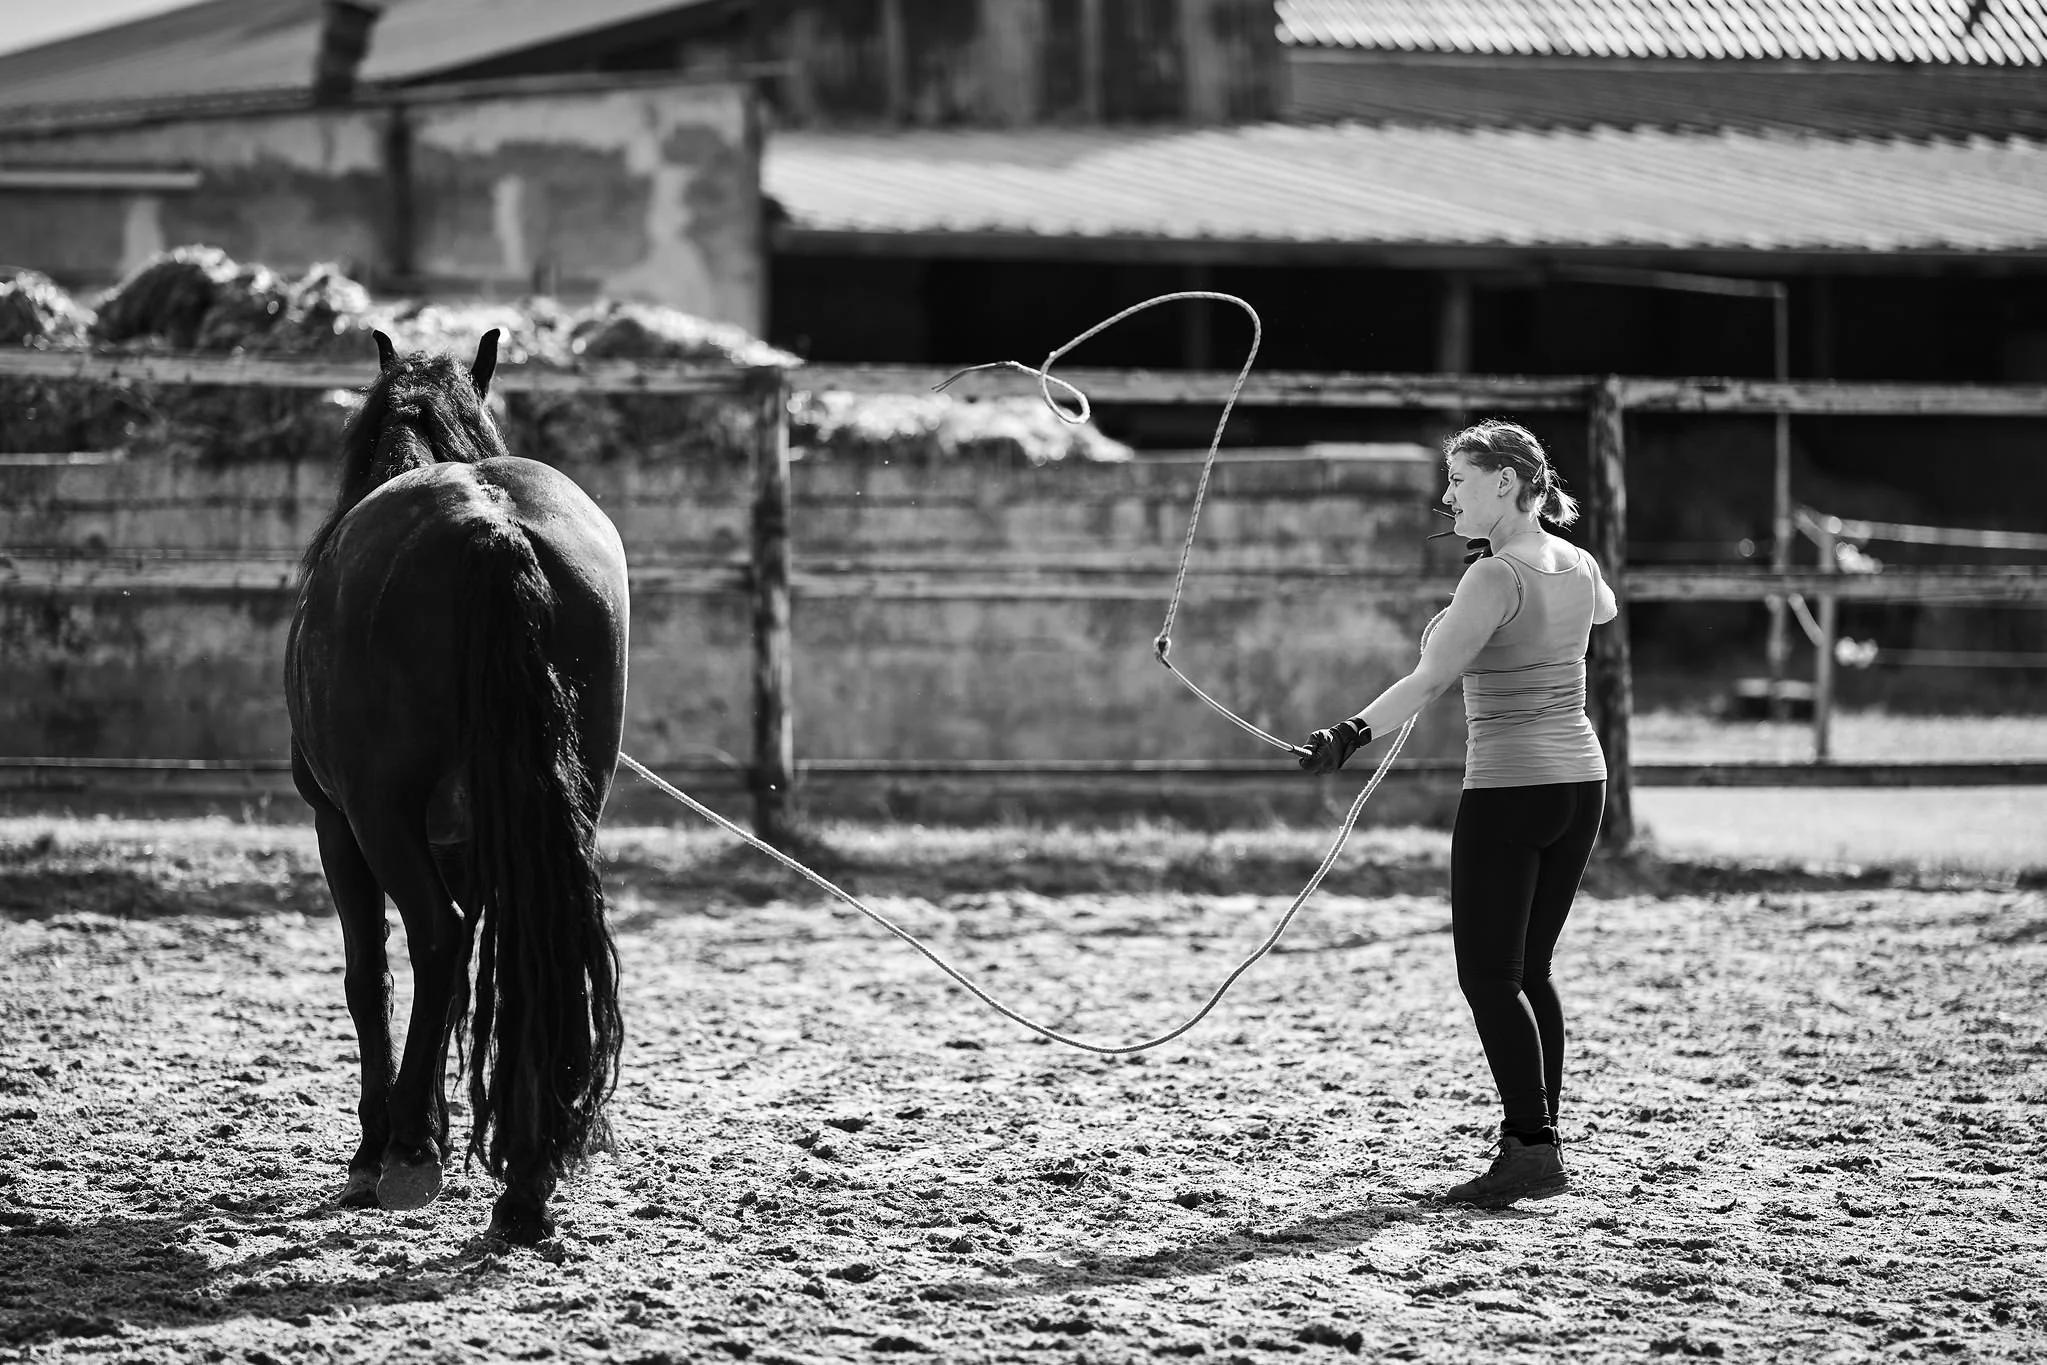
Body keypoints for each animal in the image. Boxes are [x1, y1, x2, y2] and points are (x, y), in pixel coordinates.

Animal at [284, 329, 630, 1244]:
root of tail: (493, 526)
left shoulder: (340, 825)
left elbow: (371, 972)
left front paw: (383, 1143)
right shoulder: (469, 833)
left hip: (378, 814)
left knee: (434, 937)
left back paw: (403, 1149)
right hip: (564, 807)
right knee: (523, 943)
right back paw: (528, 1182)